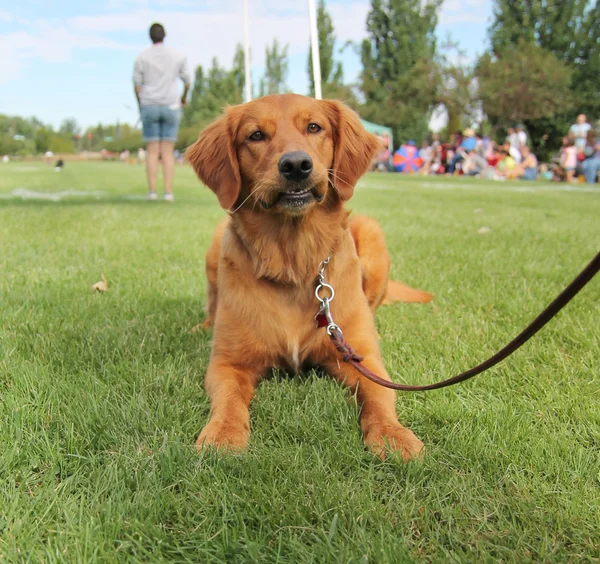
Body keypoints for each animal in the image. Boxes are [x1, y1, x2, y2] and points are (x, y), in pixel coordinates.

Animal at [188, 92, 432, 460]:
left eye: (314, 127)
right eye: (256, 135)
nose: (295, 165)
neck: (294, 262)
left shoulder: (360, 356)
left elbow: (380, 395)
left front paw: (393, 434)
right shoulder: (228, 362)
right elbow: (228, 400)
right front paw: (223, 435)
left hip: (372, 235)